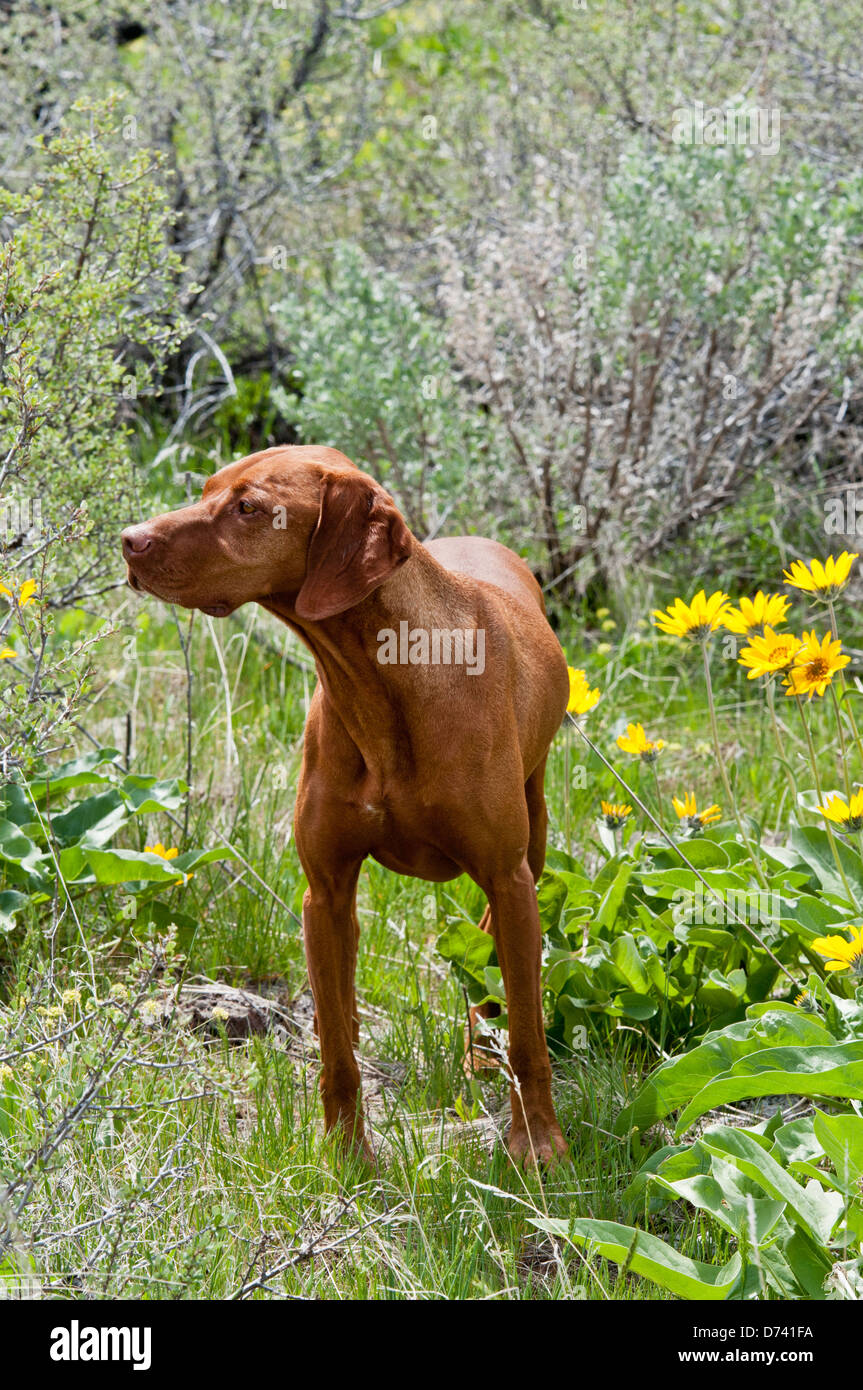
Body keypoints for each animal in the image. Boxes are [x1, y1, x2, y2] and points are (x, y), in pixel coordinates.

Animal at [119, 444, 564, 1162]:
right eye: (208, 487)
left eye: (250, 507)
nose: (128, 540)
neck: (382, 681)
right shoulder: (323, 891)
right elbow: (334, 1051)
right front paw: (345, 1153)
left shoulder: (507, 874)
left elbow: (529, 1037)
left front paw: (538, 1143)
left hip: (536, 833)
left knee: (496, 955)